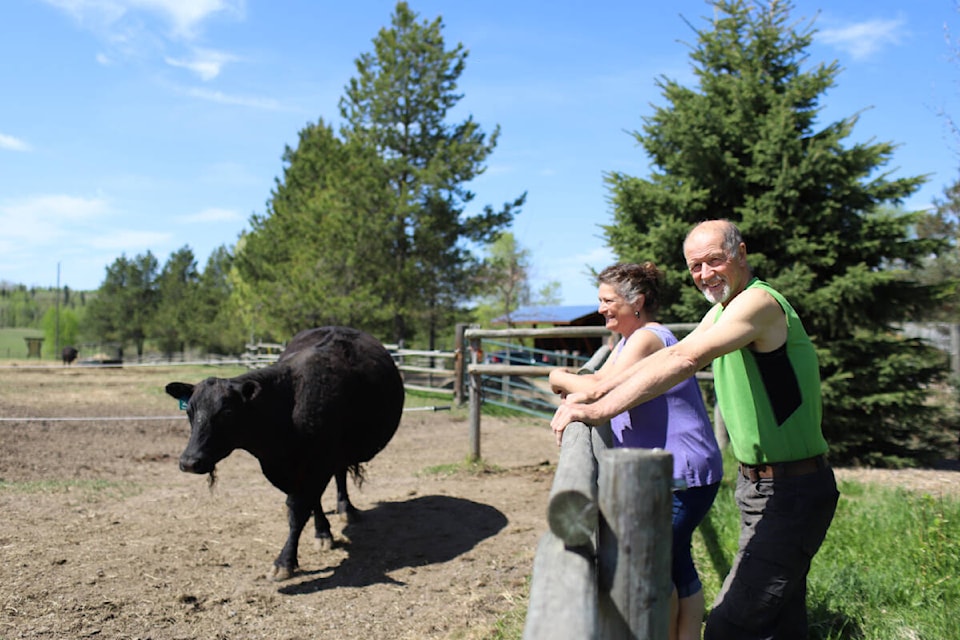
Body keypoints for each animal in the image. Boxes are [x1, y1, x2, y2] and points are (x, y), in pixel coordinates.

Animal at [166, 328, 404, 584]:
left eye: (227, 412)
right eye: (189, 411)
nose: (189, 461)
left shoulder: (319, 464)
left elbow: (298, 510)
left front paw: (284, 562)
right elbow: (310, 503)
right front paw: (322, 533)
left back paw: (346, 509)